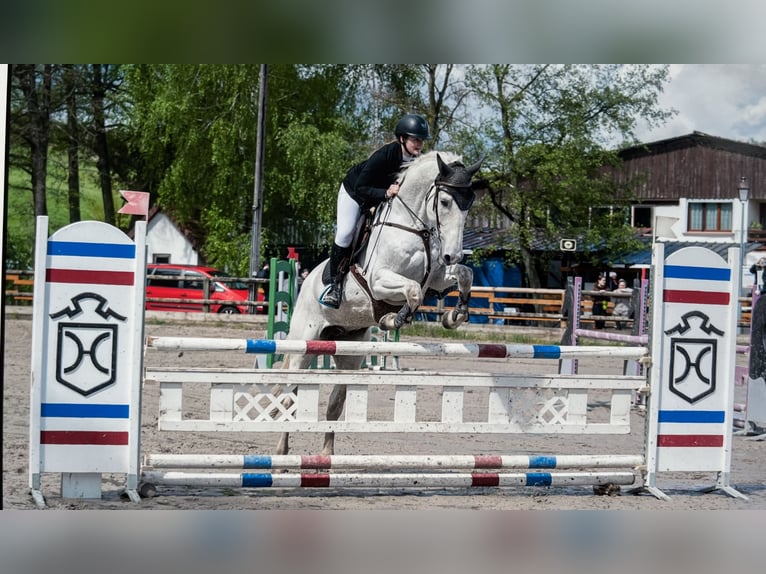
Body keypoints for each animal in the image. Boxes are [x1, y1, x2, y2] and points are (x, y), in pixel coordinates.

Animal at [280, 151, 486, 456]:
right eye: (445, 202)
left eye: (469, 204)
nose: (453, 254)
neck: (416, 228)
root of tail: (305, 284)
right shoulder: (379, 280)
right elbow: (413, 291)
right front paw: (393, 318)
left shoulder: (436, 278)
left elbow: (464, 275)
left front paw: (455, 315)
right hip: (303, 345)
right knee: (288, 397)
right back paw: (281, 450)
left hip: (349, 352)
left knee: (334, 404)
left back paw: (326, 455)